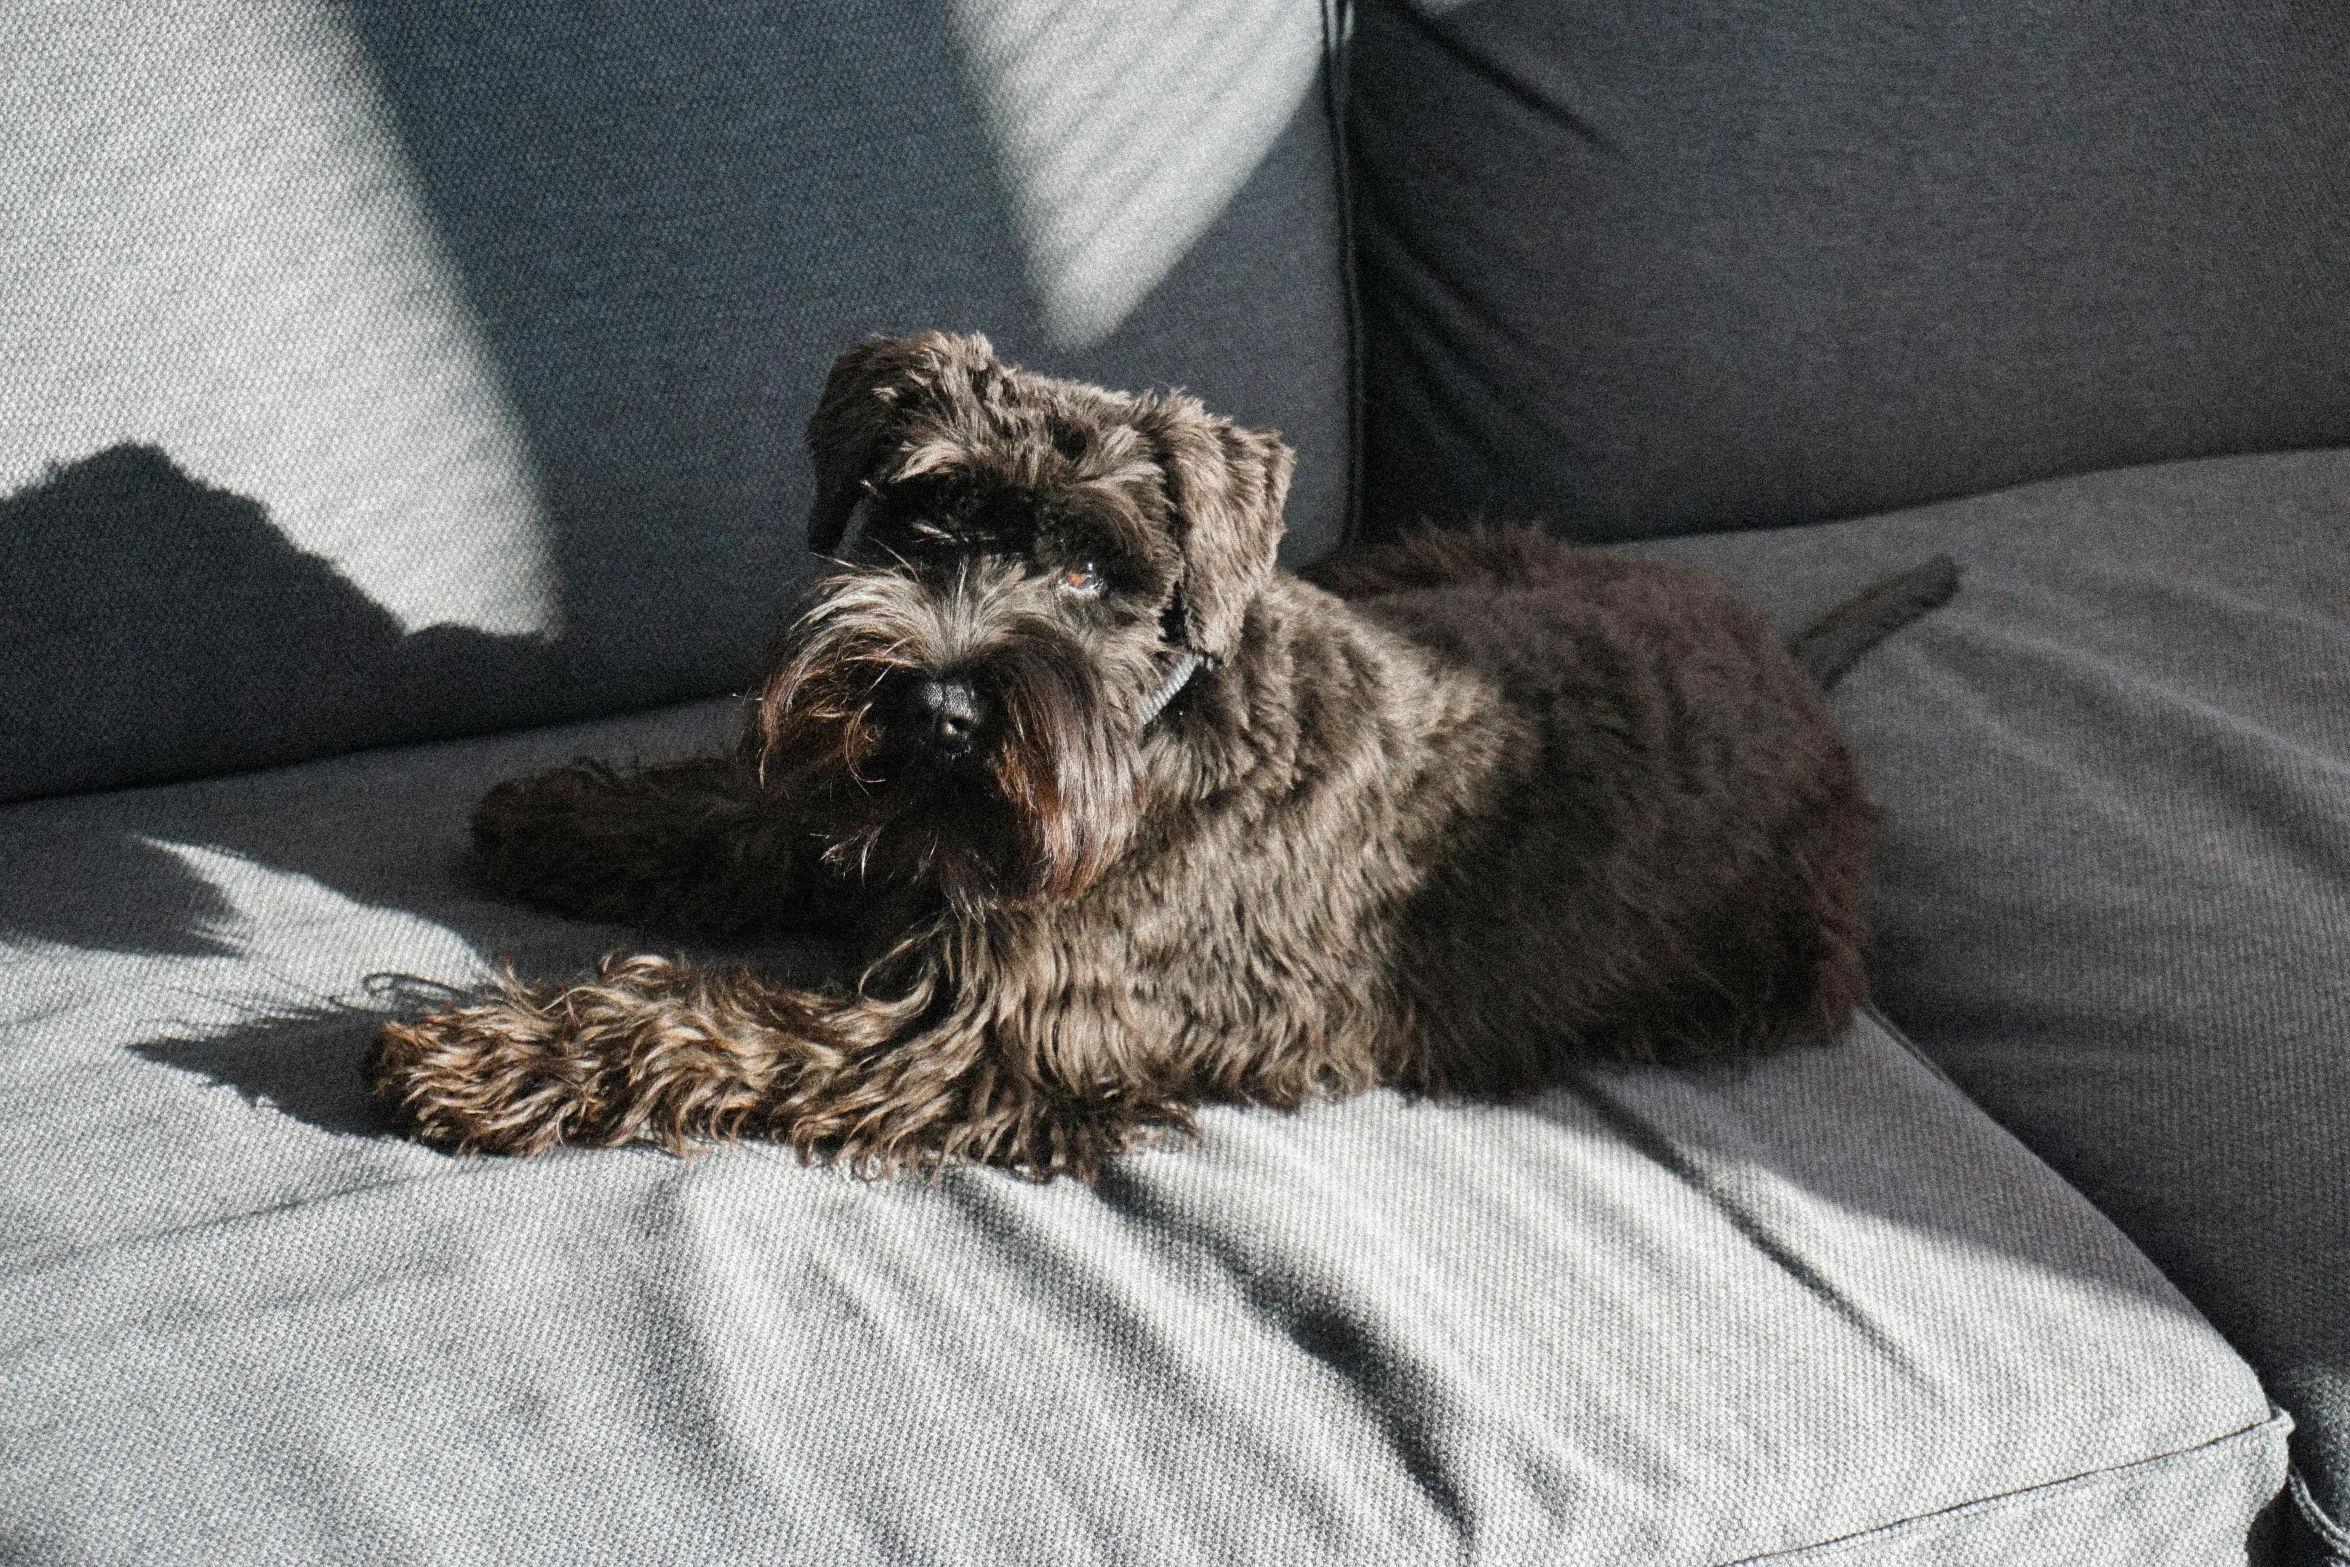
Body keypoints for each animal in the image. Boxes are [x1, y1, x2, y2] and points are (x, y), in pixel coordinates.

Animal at [366, 338, 1945, 1184]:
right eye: (917, 518)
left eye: (1089, 570)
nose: (935, 708)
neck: (1157, 727)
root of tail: (1794, 663)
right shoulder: (868, 814)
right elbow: (755, 811)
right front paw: (555, 815)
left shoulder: (972, 1029)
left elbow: (701, 1019)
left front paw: (481, 1053)